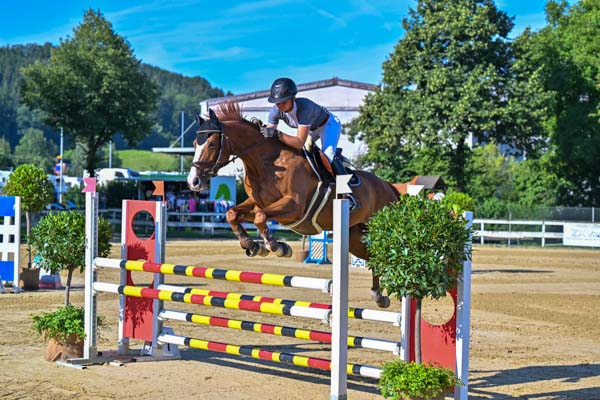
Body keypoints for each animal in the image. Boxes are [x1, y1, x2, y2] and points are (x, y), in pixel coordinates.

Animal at [187, 102, 399, 308]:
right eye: (195, 143)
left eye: (211, 144)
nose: (193, 181)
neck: (268, 163)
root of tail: (390, 187)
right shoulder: (256, 203)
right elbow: (232, 214)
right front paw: (252, 245)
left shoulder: (293, 207)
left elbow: (260, 217)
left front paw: (277, 247)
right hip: (354, 235)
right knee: (373, 257)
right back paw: (378, 295)